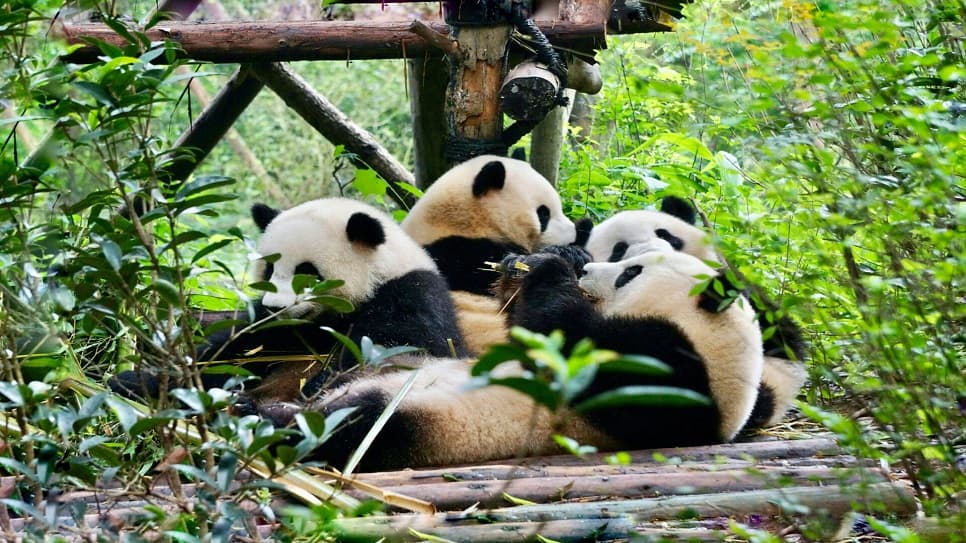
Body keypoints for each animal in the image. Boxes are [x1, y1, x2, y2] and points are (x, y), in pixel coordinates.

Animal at [110, 198, 469, 402]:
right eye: (269, 269)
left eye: (306, 272)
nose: (276, 308)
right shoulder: (269, 329)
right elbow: (229, 351)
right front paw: (141, 381)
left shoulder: (409, 295)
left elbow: (400, 347)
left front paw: (315, 386)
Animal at [270, 242, 762, 471]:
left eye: (631, 272)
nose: (588, 269)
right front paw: (538, 263)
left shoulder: (674, 380)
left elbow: (576, 351)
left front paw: (550, 270)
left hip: (415, 422)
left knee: (351, 426)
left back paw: (273, 418)